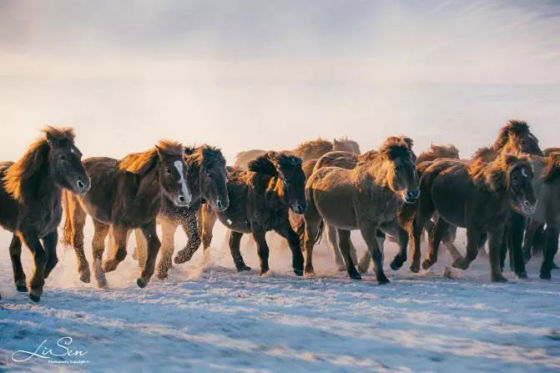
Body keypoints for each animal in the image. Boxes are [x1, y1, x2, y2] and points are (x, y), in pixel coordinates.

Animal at [0, 126, 89, 300]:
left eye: (79, 154)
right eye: (62, 156)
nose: (84, 184)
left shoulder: (50, 231)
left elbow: (52, 259)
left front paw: (39, 280)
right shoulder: (28, 231)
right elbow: (41, 256)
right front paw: (35, 289)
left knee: (14, 250)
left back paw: (20, 283)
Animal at [62, 140, 191, 288]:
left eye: (186, 169)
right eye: (168, 170)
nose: (185, 198)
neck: (139, 194)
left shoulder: (147, 222)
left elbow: (155, 244)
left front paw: (143, 279)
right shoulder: (119, 225)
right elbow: (120, 252)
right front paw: (108, 266)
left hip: (100, 221)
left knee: (97, 245)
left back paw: (101, 280)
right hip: (77, 211)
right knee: (77, 239)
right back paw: (85, 273)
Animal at [302, 135, 420, 284]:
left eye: (414, 165)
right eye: (397, 167)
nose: (413, 193)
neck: (376, 189)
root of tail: (317, 172)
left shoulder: (386, 222)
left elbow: (403, 236)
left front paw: (396, 263)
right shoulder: (367, 226)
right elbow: (375, 251)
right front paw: (381, 278)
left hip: (342, 224)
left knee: (343, 246)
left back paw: (353, 272)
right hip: (313, 217)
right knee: (311, 241)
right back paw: (309, 270)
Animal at [406, 153, 540, 280]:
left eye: (531, 176)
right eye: (515, 178)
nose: (531, 203)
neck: (490, 196)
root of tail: (430, 165)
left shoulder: (496, 229)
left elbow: (494, 252)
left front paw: (498, 277)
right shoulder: (473, 227)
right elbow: (472, 252)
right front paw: (458, 264)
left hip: (444, 216)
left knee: (437, 233)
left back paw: (428, 262)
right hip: (426, 208)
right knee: (417, 228)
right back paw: (415, 265)